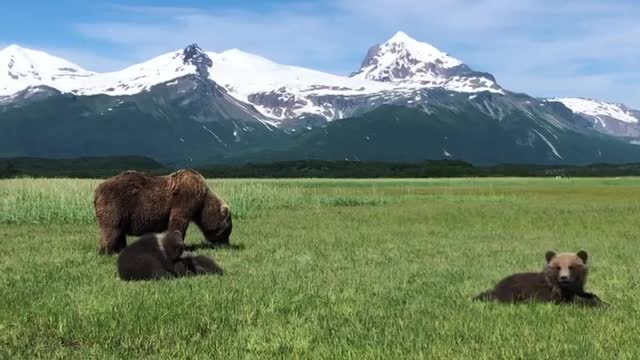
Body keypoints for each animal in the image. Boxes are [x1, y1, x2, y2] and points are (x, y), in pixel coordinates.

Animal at [94, 168, 234, 255]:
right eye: (227, 230)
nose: (227, 245)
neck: (202, 201)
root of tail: (97, 189)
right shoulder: (185, 199)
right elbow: (178, 222)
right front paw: (179, 246)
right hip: (116, 204)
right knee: (111, 229)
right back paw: (108, 251)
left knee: (119, 231)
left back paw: (120, 248)